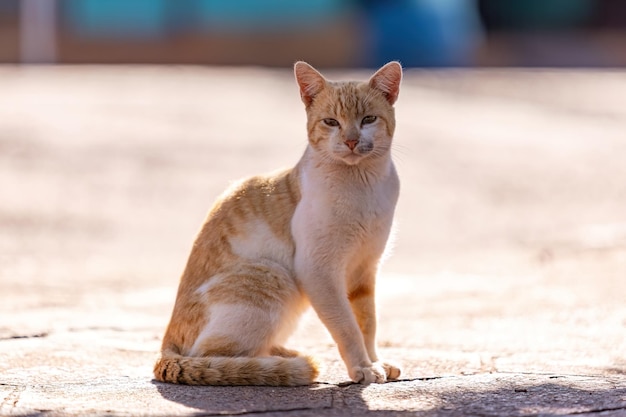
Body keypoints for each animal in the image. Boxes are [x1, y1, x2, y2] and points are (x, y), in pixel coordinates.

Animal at [154, 60, 402, 386]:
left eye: (369, 119)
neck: (364, 185)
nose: (350, 140)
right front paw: (363, 368)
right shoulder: (320, 272)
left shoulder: (364, 270)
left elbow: (367, 324)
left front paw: (375, 362)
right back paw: (279, 364)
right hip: (272, 275)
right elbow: (346, 326)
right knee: (213, 356)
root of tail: (164, 346)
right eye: (331, 122)